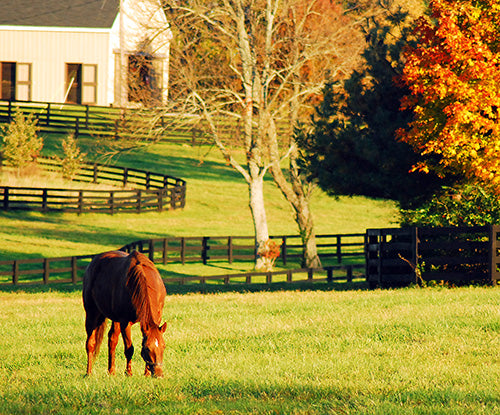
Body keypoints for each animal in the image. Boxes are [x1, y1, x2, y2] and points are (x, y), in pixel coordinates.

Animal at [82, 249, 167, 378]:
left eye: (164, 346)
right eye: (147, 348)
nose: (159, 374)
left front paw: (146, 373)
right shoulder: (125, 322)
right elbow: (129, 348)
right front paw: (129, 373)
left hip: (113, 319)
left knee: (112, 339)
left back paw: (111, 371)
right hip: (92, 314)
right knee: (90, 344)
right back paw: (89, 373)